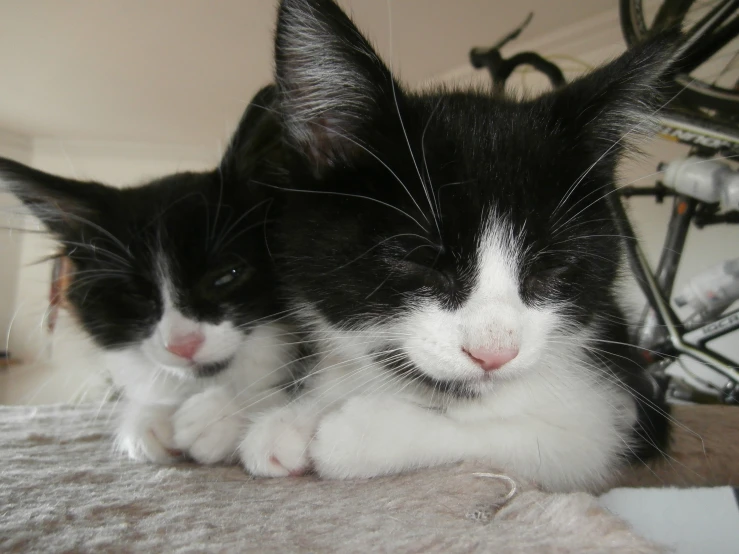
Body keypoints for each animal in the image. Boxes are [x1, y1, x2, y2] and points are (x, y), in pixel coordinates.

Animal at [241, 0, 676, 492]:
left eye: (551, 270)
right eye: (419, 261)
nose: (494, 353)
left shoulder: (610, 416)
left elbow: (549, 436)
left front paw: (364, 432)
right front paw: (299, 413)